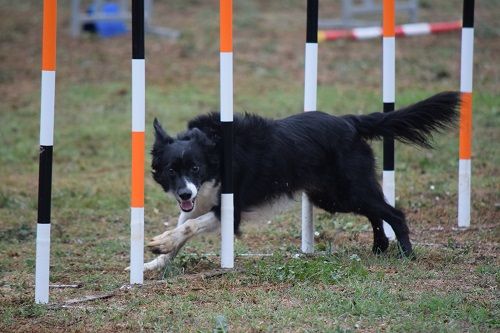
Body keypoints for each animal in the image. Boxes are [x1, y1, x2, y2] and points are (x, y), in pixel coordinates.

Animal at [143, 91, 458, 270]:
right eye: (171, 171)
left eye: (195, 168)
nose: (184, 194)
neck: (215, 153)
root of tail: (349, 121)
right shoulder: (199, 201)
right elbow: (184, 226)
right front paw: (156, 261)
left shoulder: (229, 209)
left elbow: (190, 226)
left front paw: (162, 244)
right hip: (332, 197)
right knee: (374, 213)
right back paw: (379, 247)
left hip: (349, 189)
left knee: (394, 213)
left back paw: (406, 254)